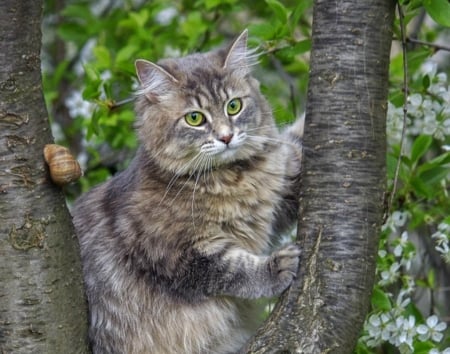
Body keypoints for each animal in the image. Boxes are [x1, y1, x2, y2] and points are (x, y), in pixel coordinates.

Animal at [73, 30, 302, 354]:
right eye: (194, 118)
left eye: (234, 106)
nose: (226, 137)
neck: (234, 177)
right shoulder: (175, 254)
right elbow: (232, 269)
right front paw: (274, 268)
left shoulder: (280, 193)